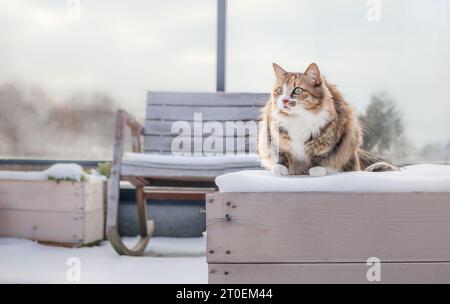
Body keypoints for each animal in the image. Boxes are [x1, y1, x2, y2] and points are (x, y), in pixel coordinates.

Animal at [256, 63, 398, 177]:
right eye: (279, 91)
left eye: (297, 90)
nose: (284, 100)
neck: (299, 118)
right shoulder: (275, 133)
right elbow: (281, 153)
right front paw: (282, 168)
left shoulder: (332, 134)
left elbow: (321, 154)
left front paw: (316, 169)